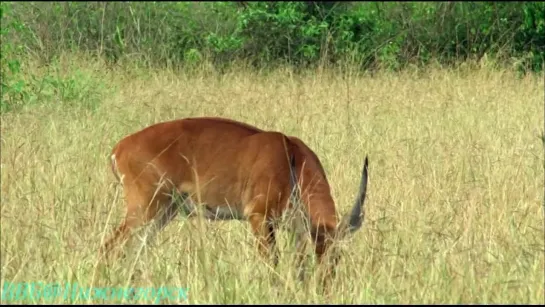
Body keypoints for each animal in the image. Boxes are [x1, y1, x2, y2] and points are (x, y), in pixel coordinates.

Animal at [100, 116, 368, 286]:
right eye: (319, 254)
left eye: (338, 256)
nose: (324, 286)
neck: (291, 157)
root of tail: (119, 148)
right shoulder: (258, 217)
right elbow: (273, 263)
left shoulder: (294, 228)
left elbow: (296, 265)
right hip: (144, 209)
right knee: (110, 247)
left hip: (163, 213)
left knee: (134, 251)